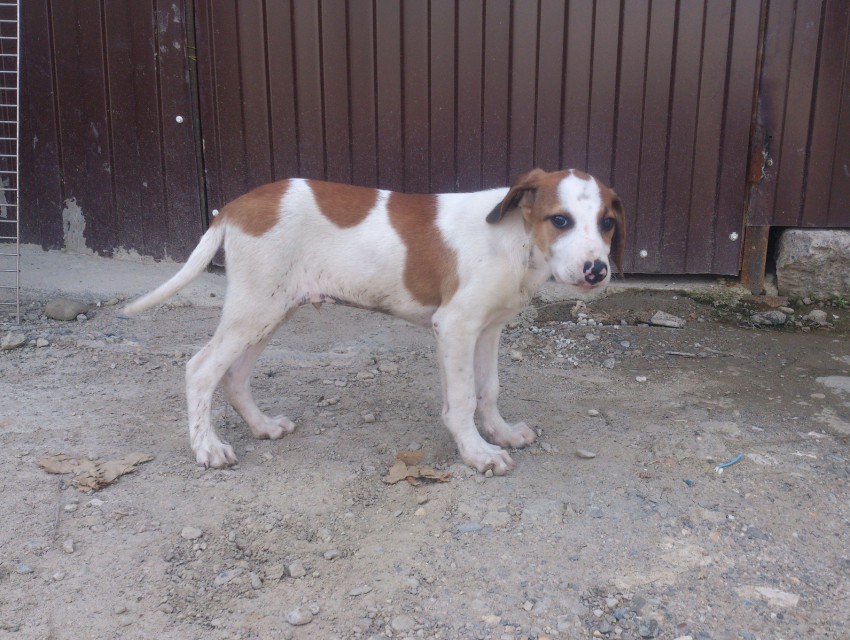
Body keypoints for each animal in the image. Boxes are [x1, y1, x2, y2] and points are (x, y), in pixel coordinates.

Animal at [124, 168, 625, 475]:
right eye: (560, 220)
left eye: (607, 223)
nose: (596, 270)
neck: (516, 239)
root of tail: (235, 205)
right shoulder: (456, 326)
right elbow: (462, 399)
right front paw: (477, 452)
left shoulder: (487, 329)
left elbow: (488, 390)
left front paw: (499, 433)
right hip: (254, 306)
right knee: (201, 370)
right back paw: (207, 449)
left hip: (272, 307)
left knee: (234, 376)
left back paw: (263, 426)